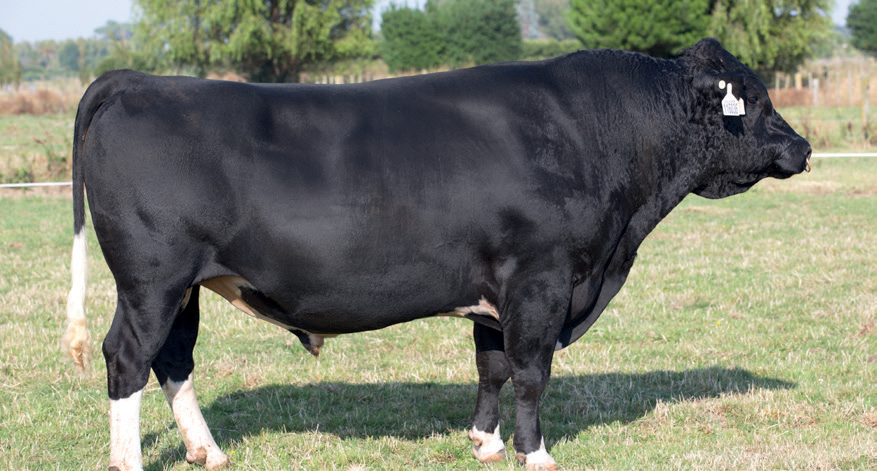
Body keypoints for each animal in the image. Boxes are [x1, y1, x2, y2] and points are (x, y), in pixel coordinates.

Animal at [63, 38, 808, 470]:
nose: (801, 147)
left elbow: (492, 367)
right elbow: (531, 373)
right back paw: (130, 462)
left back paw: (207, 451)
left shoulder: (496, 291)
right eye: (757, 99)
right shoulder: (540, 278)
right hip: (151, 281)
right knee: (127, 358)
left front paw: (486, 442)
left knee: (172, 359)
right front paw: (536, 455)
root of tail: (139, 80)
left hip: (185, 284)